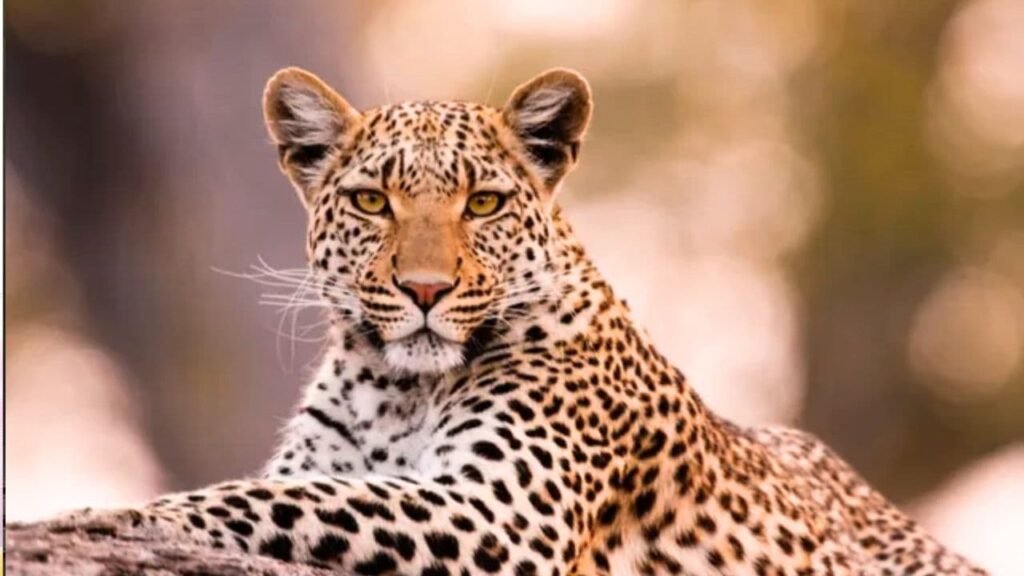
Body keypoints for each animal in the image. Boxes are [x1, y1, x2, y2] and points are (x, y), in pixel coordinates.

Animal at [49, 67, 987, 576]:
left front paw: (99, 518)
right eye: (372, 201)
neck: (396, 388)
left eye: (485, 202)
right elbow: (297, 485)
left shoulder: (500, 514)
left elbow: (280, 497)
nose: (425, 290)